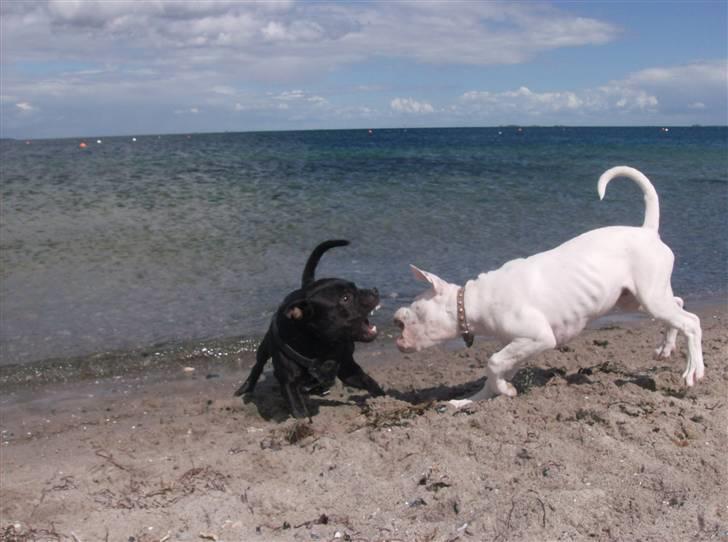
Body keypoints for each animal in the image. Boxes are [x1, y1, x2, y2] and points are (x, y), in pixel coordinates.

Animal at [236, 239, 386, 420]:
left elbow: (369, 382)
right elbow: (298, 409)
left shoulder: (348, 369)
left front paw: (385, 400)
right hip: (265, 346)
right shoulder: (289, 383)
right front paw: (302, 420)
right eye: (346, 298)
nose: (374, 290)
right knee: (258, 364)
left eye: (355, 287)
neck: (320, 345)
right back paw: (246, 388)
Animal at [396, 167, 704, 404]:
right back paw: (666, 347)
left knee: (691, 322)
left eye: (414, 311)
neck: (474, 299)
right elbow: (494, 373)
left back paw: (693, 370)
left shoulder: (538, 338)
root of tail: (647, 231)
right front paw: (472, 400)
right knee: (678, 307)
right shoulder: (518, 345)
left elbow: (493, 363)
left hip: (649, 297)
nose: (395, 318)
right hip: (635, 299)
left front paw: (504, 391)